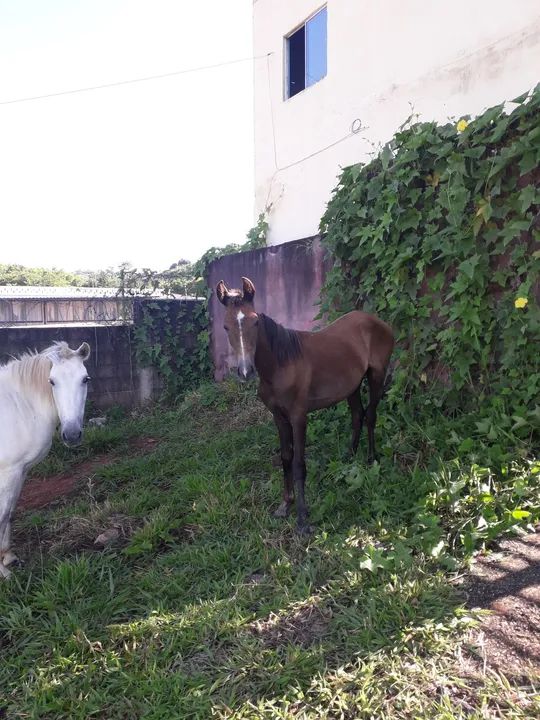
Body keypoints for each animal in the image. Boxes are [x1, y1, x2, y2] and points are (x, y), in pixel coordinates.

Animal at [0, 341, 91, 578]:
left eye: (85, 379)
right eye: (52, 381)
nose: (72, 434)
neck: (19, 406)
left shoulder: (21, 471)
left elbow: (10, 512)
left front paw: (8, 556)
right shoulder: (8, 473)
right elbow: (2, 515)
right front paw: (4, 573)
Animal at [216, 277, 394, 534]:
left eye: (256, 321)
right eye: (226, 326)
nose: (245, 371)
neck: (281, 365)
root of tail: (379, 322)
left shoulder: (299, 416)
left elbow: (299, 463)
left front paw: (302, 518)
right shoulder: (279, 417)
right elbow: (285, 458)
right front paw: (285, 505)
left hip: (377, 375)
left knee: (370, 414)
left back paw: (371, 458)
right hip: (352, 385)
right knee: (357, 415)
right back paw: (349, 457)